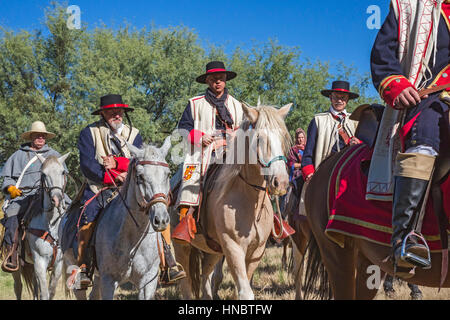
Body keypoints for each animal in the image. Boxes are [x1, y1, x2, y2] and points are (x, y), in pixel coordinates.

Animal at [60, 138, 171, 300]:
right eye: (140, 176)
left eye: (167, 174)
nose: (161, 219)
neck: (133, 237)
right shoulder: (109, 280)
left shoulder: (148, 281)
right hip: (77, 276)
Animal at [171, 103, 292, 300]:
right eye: (259, 138)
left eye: (283, 137)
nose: (280, 182)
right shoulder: (232, 247)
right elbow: (245, 293)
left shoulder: (256, 252)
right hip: (182, 247)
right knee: (186, 282)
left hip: (212, 250)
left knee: (205, 275)